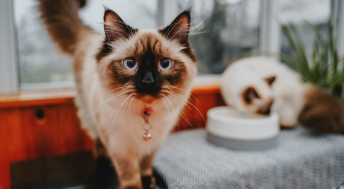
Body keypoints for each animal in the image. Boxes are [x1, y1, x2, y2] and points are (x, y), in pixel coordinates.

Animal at [38, 0, 198, 188]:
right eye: (130, 64)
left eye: (165, 64)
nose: (148, 81)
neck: (145, 114)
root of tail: (90, 34)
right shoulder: (120, 148)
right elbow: (130, 173)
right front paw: (135, 185)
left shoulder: (153, 144)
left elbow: (146, 164)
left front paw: (147, 180)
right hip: (90, 119)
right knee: (97, 144)